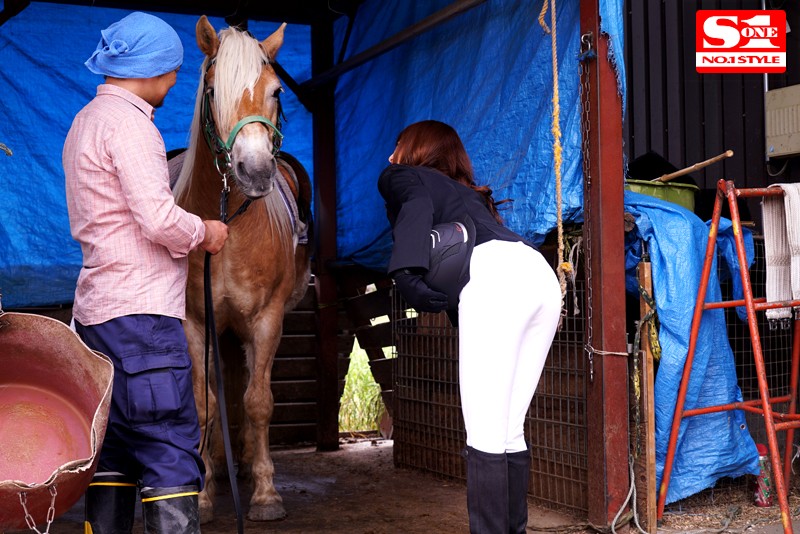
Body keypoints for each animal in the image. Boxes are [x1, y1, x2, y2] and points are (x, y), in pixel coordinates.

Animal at [170, 16, 313, 523]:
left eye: (277, 91)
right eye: (213, 90)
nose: (254, 171)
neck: (228, 223)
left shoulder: (266, 319)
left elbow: (258, 402)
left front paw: (266, 494)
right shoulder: (195, 323)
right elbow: (203, 403)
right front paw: (203, 493)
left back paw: (247, 463)